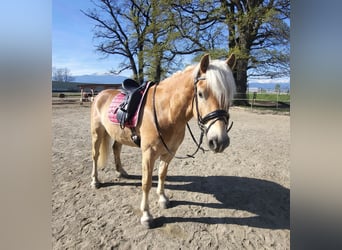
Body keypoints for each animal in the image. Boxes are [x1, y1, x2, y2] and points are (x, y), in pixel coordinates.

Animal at [89, 53, 236, 229]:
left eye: (229, 97)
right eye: (201, 94)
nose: (220, 141)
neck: (165, 111)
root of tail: (100, 95)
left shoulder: (169, 152)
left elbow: (162, 174)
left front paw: (162, 199)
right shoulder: (148, 153)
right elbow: (146, 183)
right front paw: (146, 216)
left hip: (118, 134)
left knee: (116, 149)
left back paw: (121, 171)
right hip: (97, 133)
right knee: (95, 156)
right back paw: (95, 181)